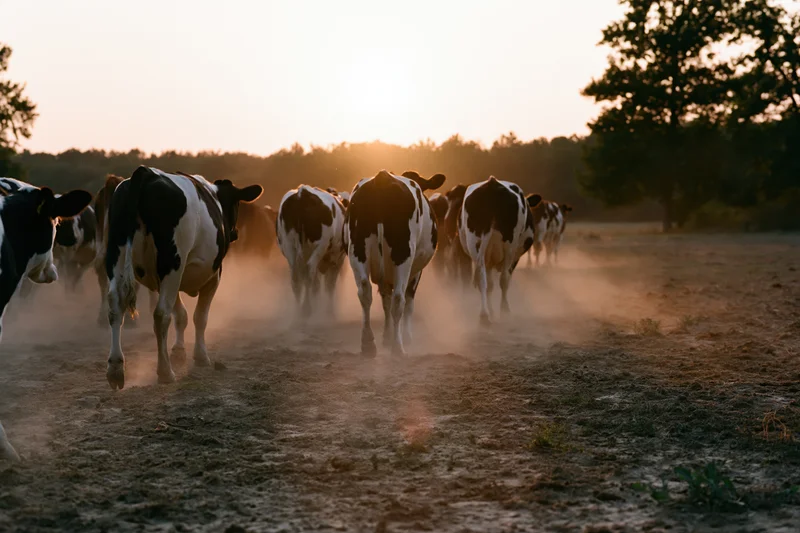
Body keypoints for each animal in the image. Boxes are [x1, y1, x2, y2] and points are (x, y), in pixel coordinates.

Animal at [104, 166, 262, 389]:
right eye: (236, 204)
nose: (234, 233)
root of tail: (145, 172)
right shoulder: (213, 276)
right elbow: (200, 317)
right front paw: (200, 355)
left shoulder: (167, 280)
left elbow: (181, 315)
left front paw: (179, 352)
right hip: (172, 262)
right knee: (161, 314)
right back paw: (165, 371)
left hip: (116, 255)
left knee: (116, 308)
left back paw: (116, 369)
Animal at [276, 186, 347, 317]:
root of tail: (302, 193)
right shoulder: (338, 257)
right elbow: (329, 284)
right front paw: (330, 312)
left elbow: (317, 285)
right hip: (319, 247)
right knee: (309, 272)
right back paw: (306, 308)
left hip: (289, 246)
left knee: (296, 278)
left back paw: (298, 310)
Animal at [346, 170, 445, 355]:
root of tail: (382, 178)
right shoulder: (415, 272)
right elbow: (407, 301)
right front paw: (404, 337)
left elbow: (385, 301)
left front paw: (387, 335)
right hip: (403, 254)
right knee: (399, 298)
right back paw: (397, 347)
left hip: (357, 250)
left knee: (365, 292)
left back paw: (368, 343)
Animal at [458, 177, 540, 325]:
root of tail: (492, 183)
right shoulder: (513, 257)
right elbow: (503, 280)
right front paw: (502, 310)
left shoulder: (488, 259)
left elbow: (490, 284)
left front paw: (491, 311)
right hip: (509, 247)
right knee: (504, 279)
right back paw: (504, 311)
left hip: (476, 243)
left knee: (482, 279)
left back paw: (484, 315)